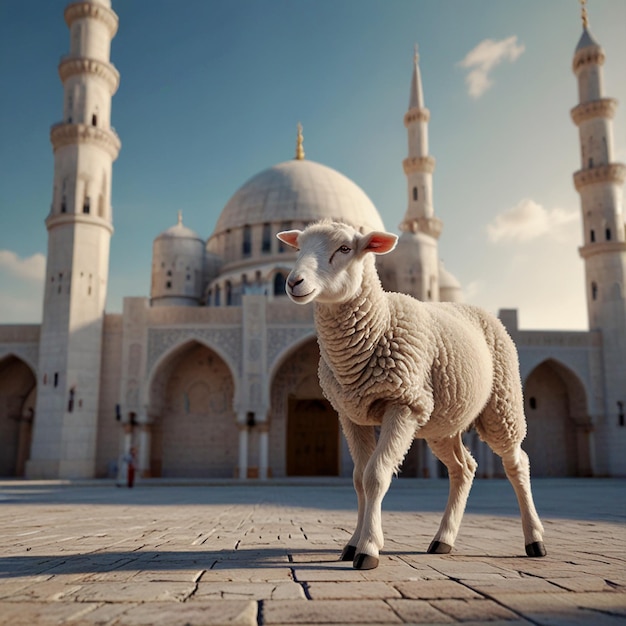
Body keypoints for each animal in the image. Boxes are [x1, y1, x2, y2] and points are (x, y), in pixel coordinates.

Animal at [276, 222, 544, 568]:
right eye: (298, 249)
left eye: (345, 249)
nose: (294, 281)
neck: (380, 322)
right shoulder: (351, 413)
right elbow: (358, 479)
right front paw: (352, 543)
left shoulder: (403, 405)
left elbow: (376, 476)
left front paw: (368, 549)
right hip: (442, 423)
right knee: (463, 469)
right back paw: (443, 539)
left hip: (502, 403)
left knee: (517, 463)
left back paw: (534, 539)